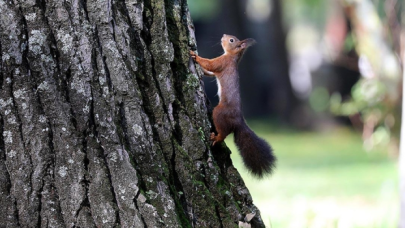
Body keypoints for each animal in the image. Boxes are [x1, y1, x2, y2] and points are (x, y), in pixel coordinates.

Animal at [189, 33, 274, 177]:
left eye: (231, 40)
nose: (223, 35)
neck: (232, 57)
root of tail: (238, 121)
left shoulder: (223, 63)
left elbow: (210, 64)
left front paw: (195, 56)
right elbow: (209, 72)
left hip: (219, 113)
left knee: (223, 133)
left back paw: (216, 137)